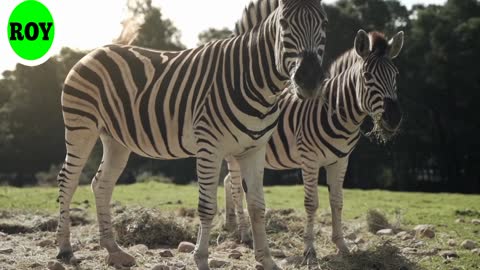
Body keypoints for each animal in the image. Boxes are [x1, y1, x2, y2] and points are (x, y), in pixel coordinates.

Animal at [54, 1, 328, 268]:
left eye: (324, 23)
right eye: (283, 24)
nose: (310, 81)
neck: (252, 78)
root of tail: (94, 52)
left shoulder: (255, 149)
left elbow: (258, 206)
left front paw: (266, 260)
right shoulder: (210, 146)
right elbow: (207, 207)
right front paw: (201, 258)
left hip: (116, 139)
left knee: (101, 184)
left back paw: (114, 250)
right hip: (81, 126)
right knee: (67, 180)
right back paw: (65, 249)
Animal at [223, 29, 404, 264]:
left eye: (395, 75)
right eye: (367, 76)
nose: (394, 118)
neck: (336, 112)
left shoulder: (340, 160)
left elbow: (337, 201)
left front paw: (342, 246)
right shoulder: (310, 159)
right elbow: (312, 203)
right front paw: (309, 251)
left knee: (228, 183)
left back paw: (231, 225)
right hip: (236, 153)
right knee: (236, 188)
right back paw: (243, 234)